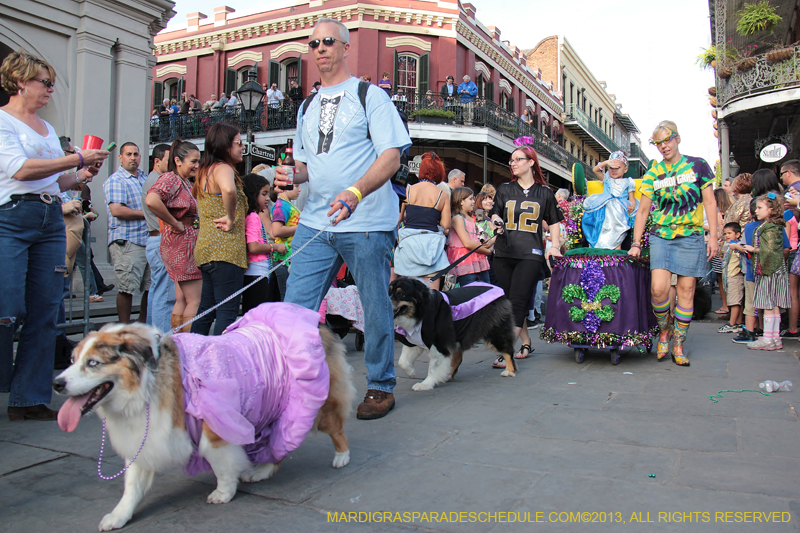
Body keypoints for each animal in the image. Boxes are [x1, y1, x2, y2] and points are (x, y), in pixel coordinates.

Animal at [54, 316, 354, 528]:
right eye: (72, 360)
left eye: (93, 363)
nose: (57, 383)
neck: (147, 382)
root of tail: (318, 324)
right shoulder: (146, 437)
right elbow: (132, 486)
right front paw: (119, 516)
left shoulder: (216, 426)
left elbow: (221, 462)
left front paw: (224, 492)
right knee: (279, 445)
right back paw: (261, 470)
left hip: (316, 407)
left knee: (336, 430)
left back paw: (342, 457)